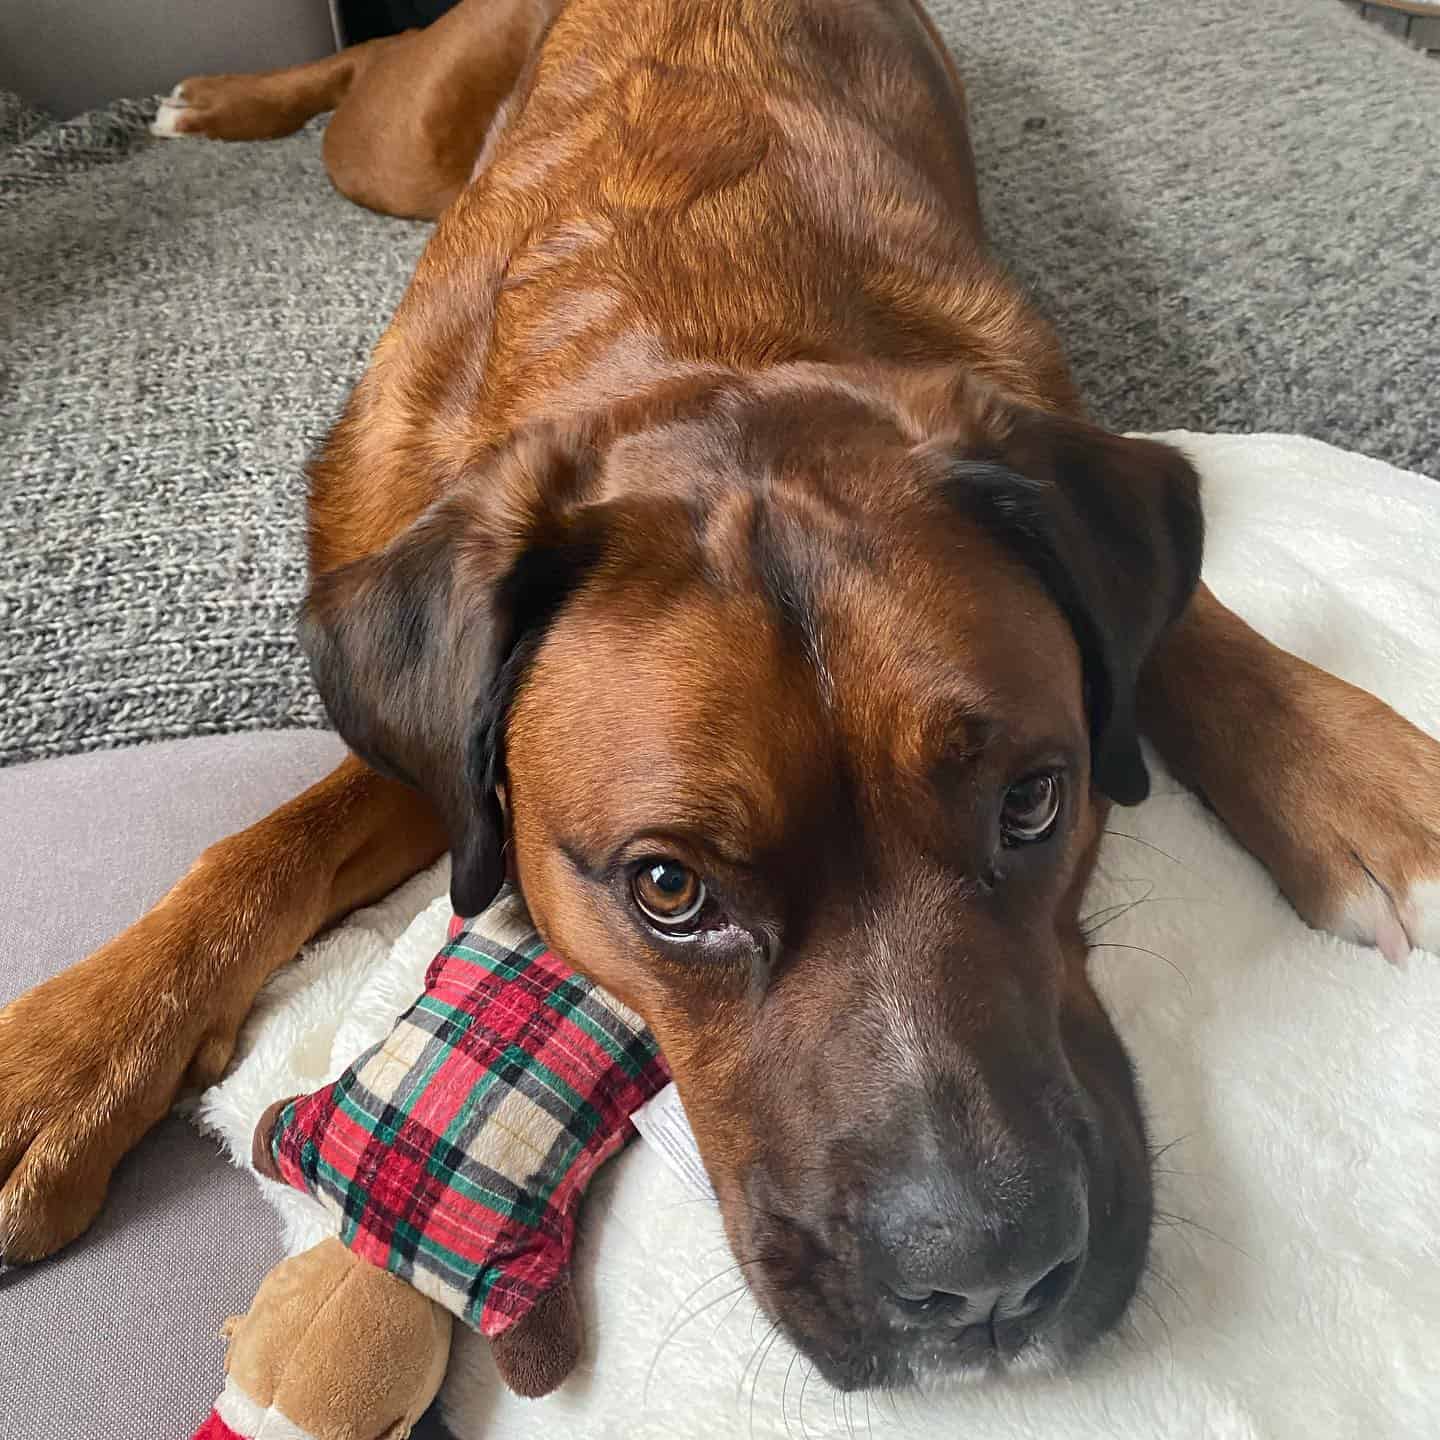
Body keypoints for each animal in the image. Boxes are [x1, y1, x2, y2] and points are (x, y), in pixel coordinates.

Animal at [2, 0, 1440, 1393]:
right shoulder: (445, 738)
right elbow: (265, 849)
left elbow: (1184, 621)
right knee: (370, 65)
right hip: (398, 149)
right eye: (667, 890)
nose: (986, 1285)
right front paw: (65, 1064)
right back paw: (213, 100)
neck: (701, 333)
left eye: (1037, 802)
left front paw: (1353, 778)